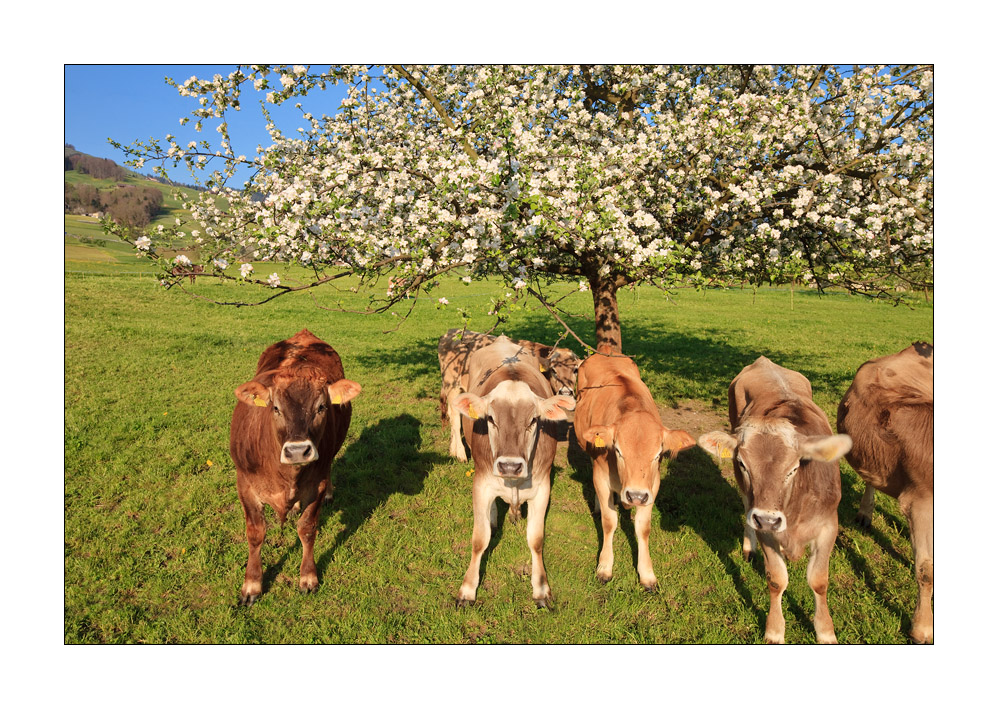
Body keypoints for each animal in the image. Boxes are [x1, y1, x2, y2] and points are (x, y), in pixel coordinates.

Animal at [229, 329, 361, 606]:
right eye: (275, 408)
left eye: (321, 407)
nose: (298, 450)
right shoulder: (244, 485)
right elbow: (256, 533)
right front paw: (252, 584)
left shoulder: (316, 485)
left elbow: (307, 529)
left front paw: (308, 578)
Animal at [438, 328, 580, 461]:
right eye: (554, 370)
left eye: (575, 370)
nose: (566, 392)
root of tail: (450, 332)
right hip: (451, 385)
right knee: (455, 418)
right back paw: (460, 454)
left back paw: (453, 450)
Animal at [451, 335, 576, 608]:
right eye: (490, 419)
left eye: (533, 420)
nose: (509, 465)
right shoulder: (481, 484)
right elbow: (479, 539)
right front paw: (467, 589)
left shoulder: (542, 488)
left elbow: (536, 540)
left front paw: (541, 588)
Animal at [573, 344, 696, 592]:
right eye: (619, 451)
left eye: (658, 454)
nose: (636, 496)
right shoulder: (602, 476)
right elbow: (609, 522)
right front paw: (604, 567)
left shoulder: (653, 485)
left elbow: (643, 527)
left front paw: (647, 573)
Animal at [698, 356, 852, 643]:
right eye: (743, 463)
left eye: (793, 468)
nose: (768, 519)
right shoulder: (766, 530)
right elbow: (777, 579)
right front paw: (774, 630)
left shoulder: (829, 527)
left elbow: (819, 581)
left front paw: (825, 631)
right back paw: (749, 547)